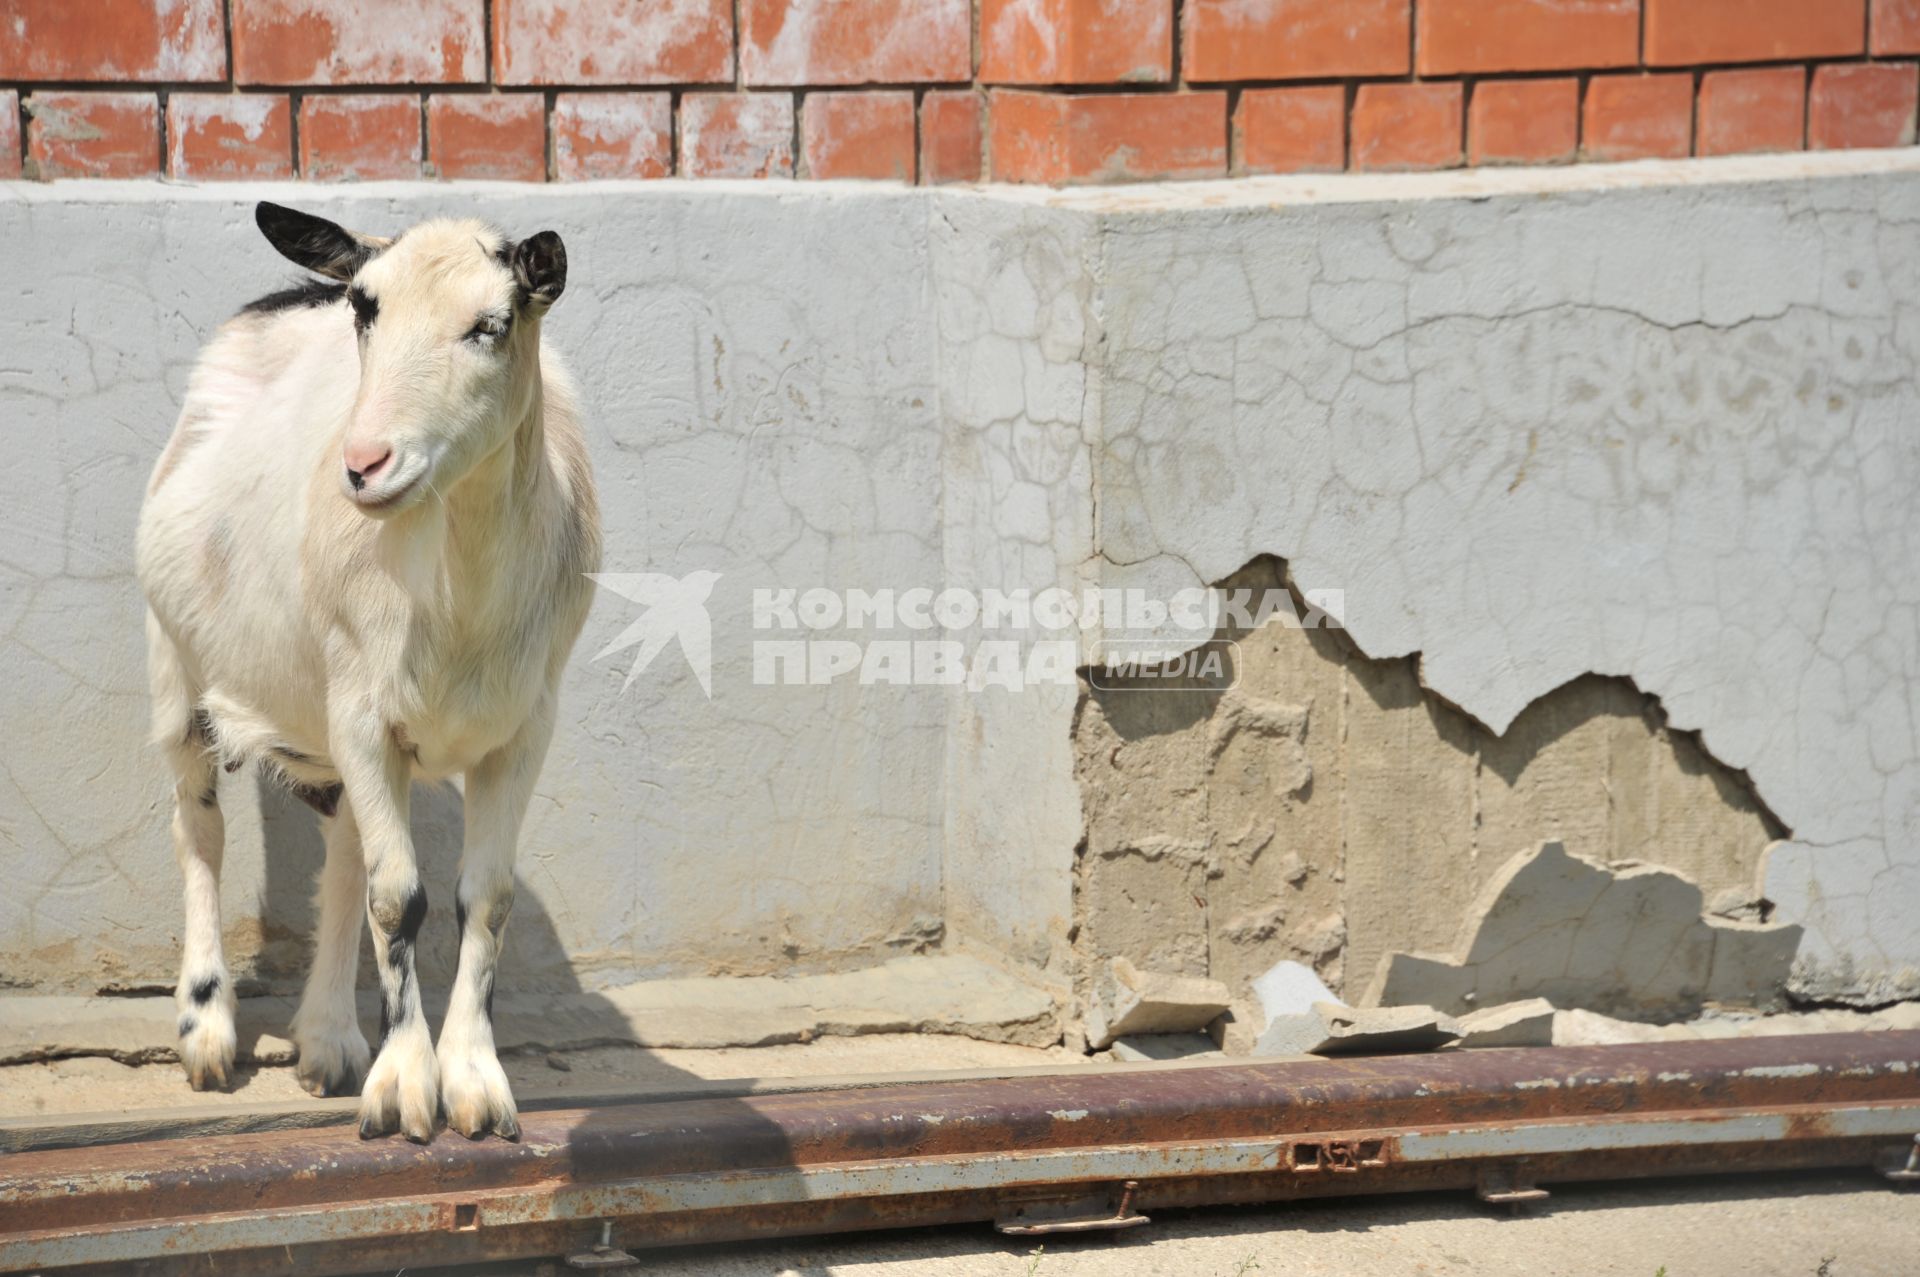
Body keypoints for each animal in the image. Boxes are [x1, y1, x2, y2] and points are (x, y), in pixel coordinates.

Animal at [137, 204, 599, 1136]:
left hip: (328, 723)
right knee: (199, 825)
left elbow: (481, 896)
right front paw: (406, 1088)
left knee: (345, 850)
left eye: (491, 324)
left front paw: (473, 1082)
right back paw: (207, 1027)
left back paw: (328, 1040)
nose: (366, 464)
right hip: (176, 662)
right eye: (365, 309)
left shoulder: (522, 726)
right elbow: (401, 900)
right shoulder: (362, 709)